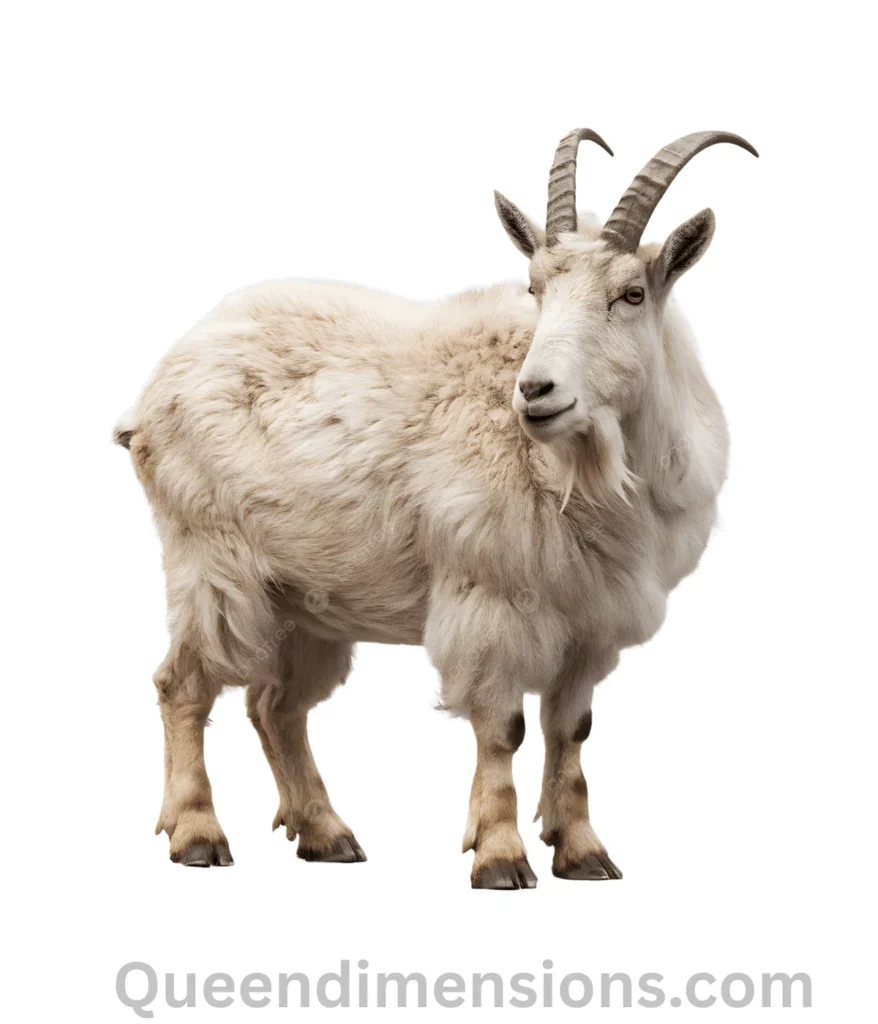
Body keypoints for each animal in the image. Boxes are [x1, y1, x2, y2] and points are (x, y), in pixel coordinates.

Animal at [115, 128, 757, 887]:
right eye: (535, 289)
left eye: (630, 294)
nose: (536, 392)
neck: (589, 466)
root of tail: (158, 386)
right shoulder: (491, 598)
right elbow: (503, 728)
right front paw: (501, 857)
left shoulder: (590, 621)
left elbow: (570, 730)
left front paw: (582, 851)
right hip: (210, 559)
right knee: (182, 684)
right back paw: (197, 834)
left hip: (303, 597)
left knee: (274, 706)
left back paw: (327, 834)